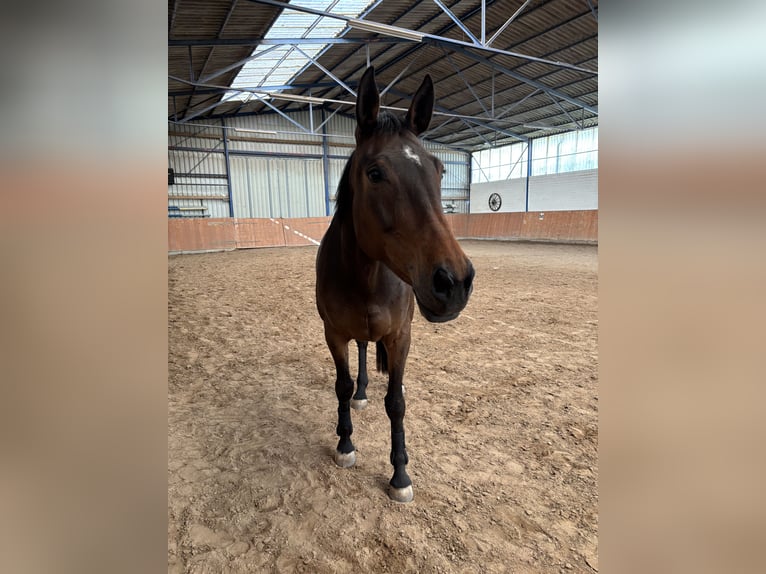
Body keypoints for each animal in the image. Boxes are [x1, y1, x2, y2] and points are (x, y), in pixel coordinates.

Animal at [315, 66, 475, 503]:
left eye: (438, 170)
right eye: (375, 173)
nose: (454, 281)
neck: (368, 274)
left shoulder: (401, 336)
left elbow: (397, 402)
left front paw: (400, 473)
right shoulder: (333, 334)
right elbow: (341, 385)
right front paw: (345, 444)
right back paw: (360, 395)